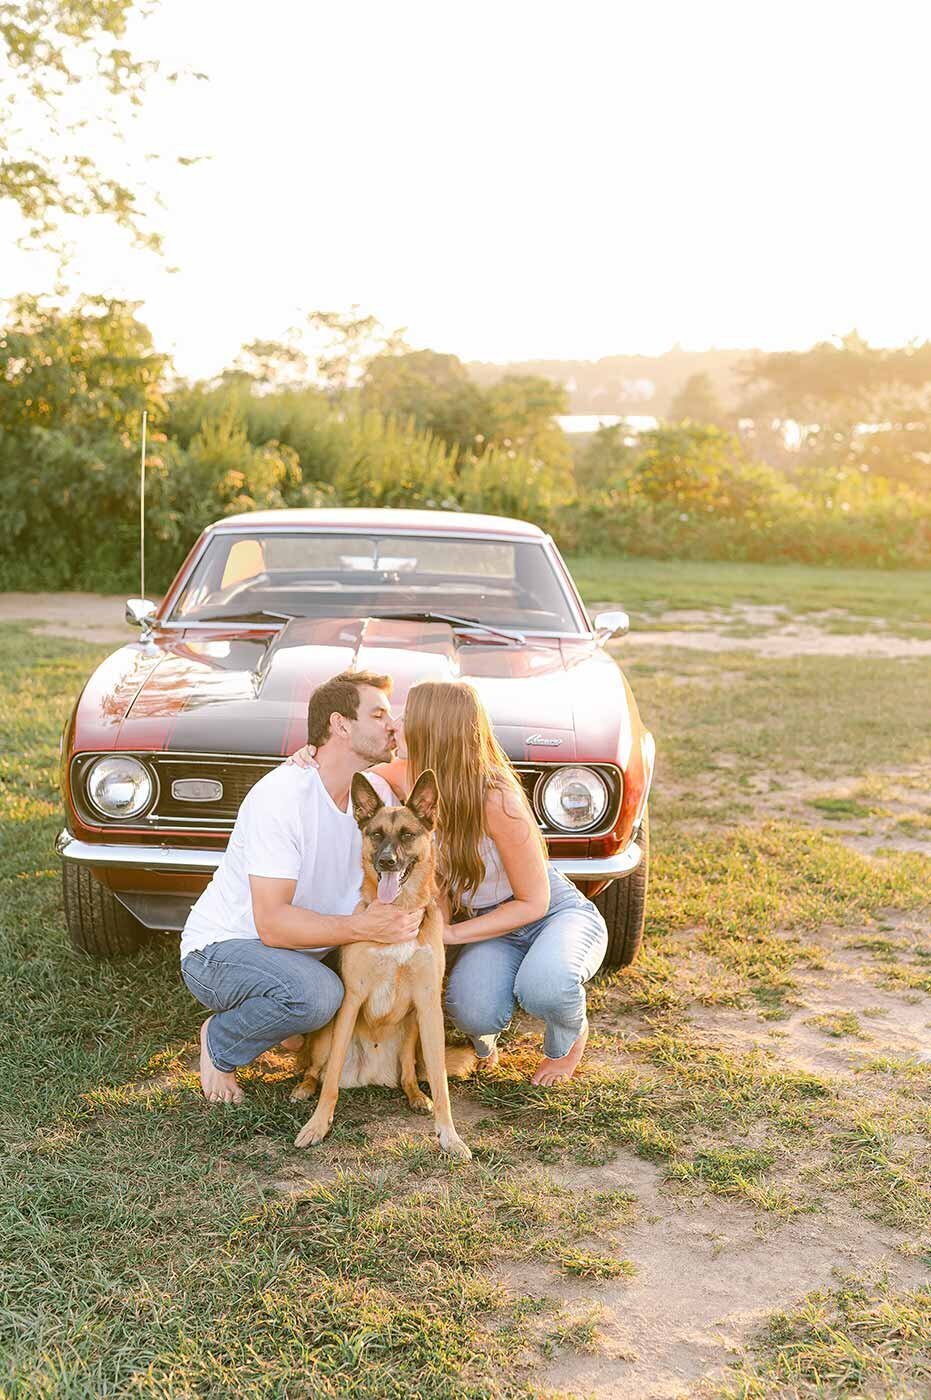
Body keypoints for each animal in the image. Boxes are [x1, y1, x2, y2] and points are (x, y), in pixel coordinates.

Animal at [292, 772, 473, 1153]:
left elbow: (440, 1082)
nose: (388, 861)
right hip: (326, 1033)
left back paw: (416, 1095)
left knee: (409, 1073)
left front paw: (449, 1135)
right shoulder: (351, 1000)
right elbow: (330, 1079)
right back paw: (304, 1088)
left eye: (407, 834)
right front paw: (317, 1125)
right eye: (376, 834)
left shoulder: (429, 1006)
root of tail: (370, 1075)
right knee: (316, 1070)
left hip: (413, 1031)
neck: (398, 913)